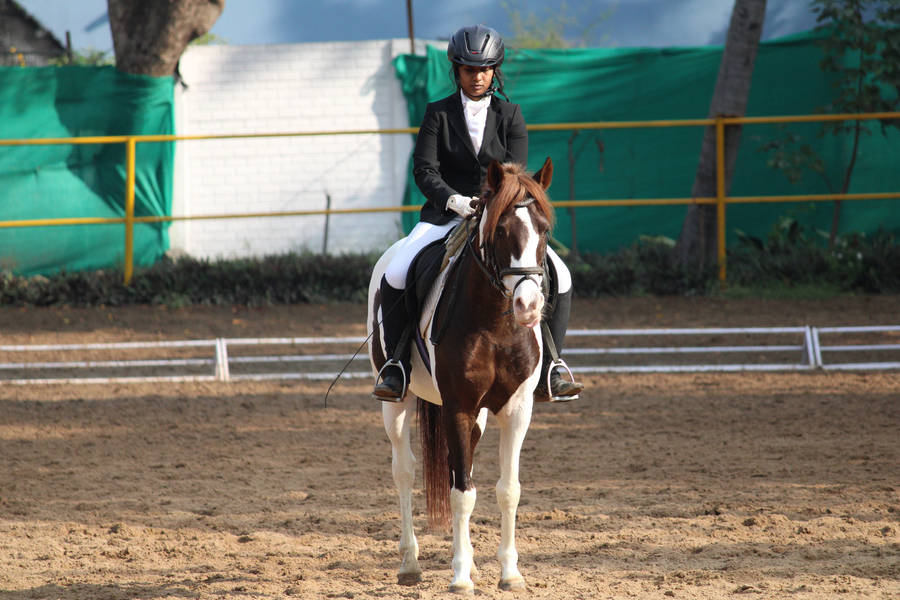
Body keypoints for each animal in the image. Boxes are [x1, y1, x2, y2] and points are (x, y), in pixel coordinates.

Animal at [367, 158, 555, 593]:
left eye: (544, 230)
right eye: (500, 231)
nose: (528, 306)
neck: (496, 323)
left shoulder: (517, 410)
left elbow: (508, 490)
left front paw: (509, 573)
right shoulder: (458, 406)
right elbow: (461, 492)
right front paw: (459, 577)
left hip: (480, 416)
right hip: (397, 403)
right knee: (405, 471)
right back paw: (410, 563)